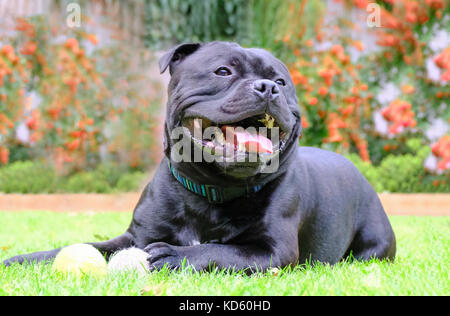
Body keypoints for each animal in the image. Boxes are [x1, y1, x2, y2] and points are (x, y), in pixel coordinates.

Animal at [1, 42, 396, 272]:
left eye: (282, 83)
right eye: (223, 71)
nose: (268, 88)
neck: (210, 190)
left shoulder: (271, 250)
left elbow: (219, 251)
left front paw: (175, 255)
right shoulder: (134, 237)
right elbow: (82, 247)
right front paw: (23, 259)